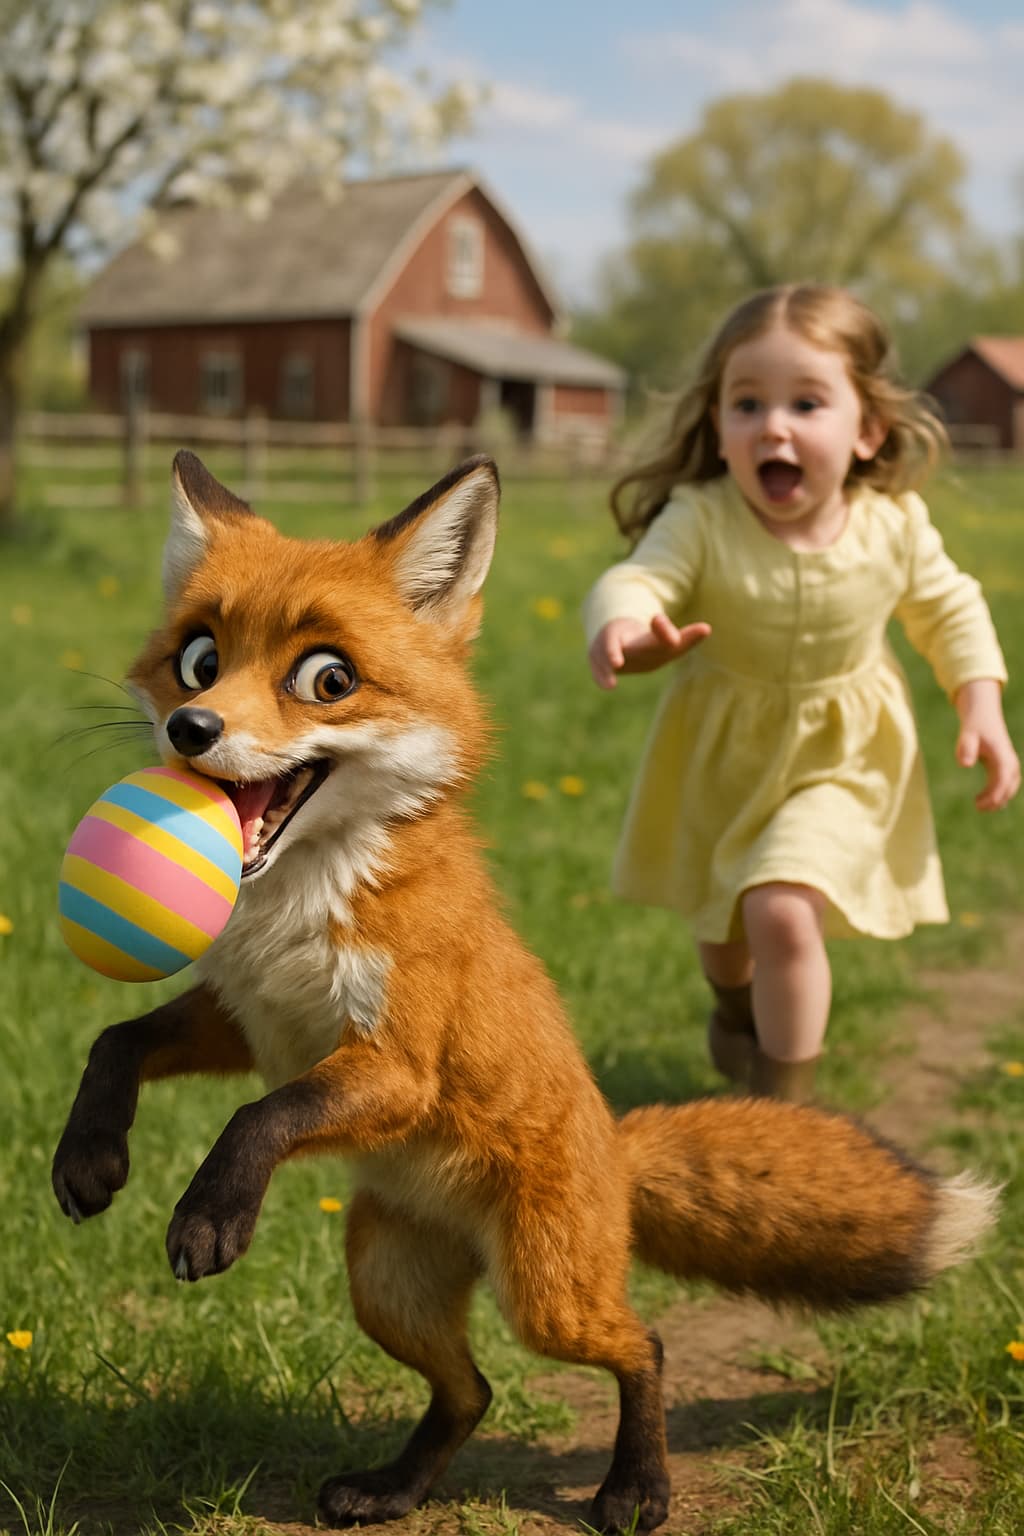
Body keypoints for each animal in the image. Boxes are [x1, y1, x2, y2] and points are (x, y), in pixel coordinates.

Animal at [52, 450, 998, 1534]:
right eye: (200, 660)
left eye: (327, 680)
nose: (191, 728)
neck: (300, 905)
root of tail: (618, 1145)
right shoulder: (245, 1018)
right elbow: (115, 1043)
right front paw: (87, 1160)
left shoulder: (396, 1065)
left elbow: (261, 1117)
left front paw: (211, 1215)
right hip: (386, 1284)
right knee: (472, 1392)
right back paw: (395, 1489)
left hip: (546, 1300)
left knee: (638, 1347)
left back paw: (636, 1488)